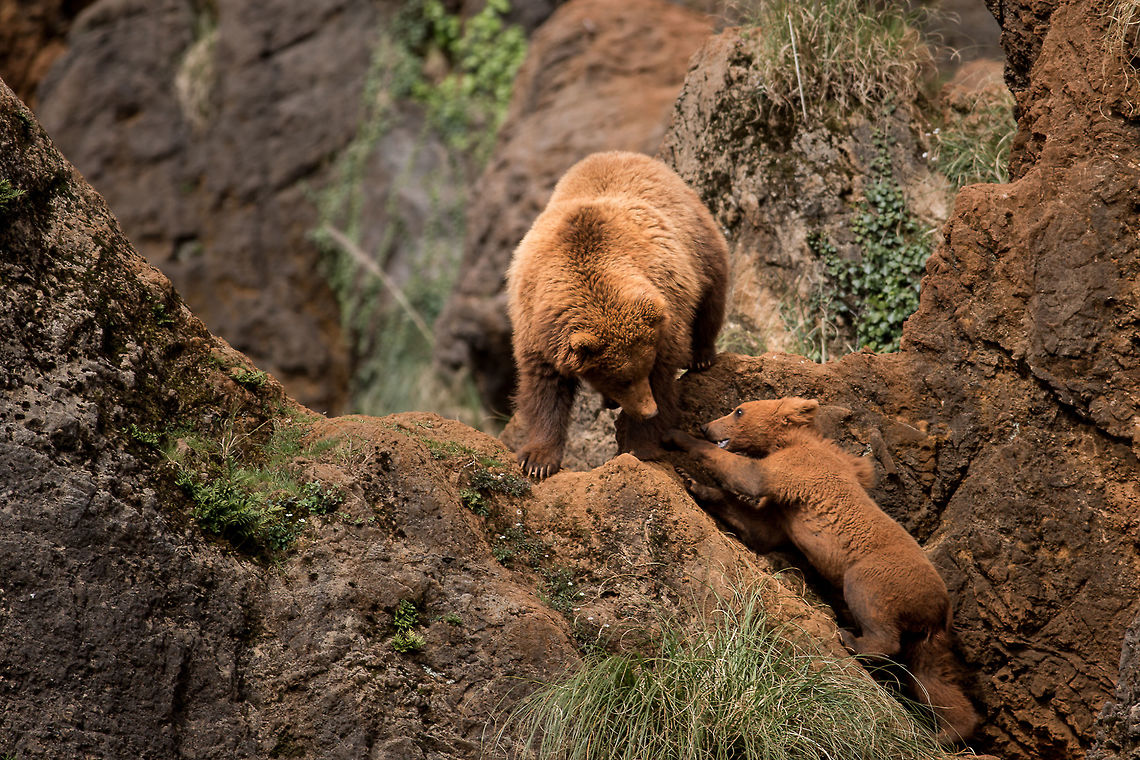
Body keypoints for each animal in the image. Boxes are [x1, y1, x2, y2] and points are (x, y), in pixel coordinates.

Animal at [506, 151, 729, 478]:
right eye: (621, 378)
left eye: (643, 369)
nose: (648, 409)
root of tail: (624, 153)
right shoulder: (537, 327)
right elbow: (544, 390)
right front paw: (538, 460)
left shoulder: (664, 319)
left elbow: (664, 379)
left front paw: (640, 445)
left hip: (698, 244)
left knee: (711, 297)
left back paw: (702, 355)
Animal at [666, 397, 979, 744]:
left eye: (739, 411)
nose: (706, 426)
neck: (788, 440)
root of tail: (942, 607)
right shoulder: (784, 508)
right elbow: (756, 526)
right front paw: (693, 481)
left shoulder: (799, 469)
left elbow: (749, 475)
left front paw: (676, 437)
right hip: (927, 634)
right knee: (932, 679)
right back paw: (950, 731)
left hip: (883, 576)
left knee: (873, 610)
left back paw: (853, 639)